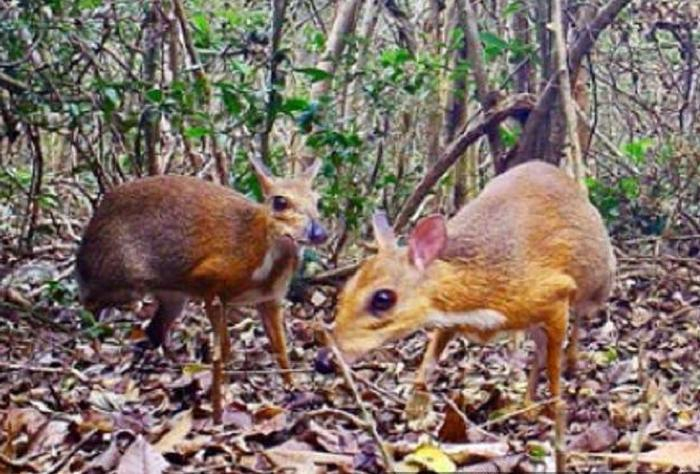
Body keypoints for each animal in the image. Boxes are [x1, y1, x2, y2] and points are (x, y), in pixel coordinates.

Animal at [76, 159, 328, 422]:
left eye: (317, 201)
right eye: (280, 201)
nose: (319, 233)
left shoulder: (270, 300)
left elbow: (281, 349)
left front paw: (293, 388)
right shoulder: (209, 284)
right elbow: (225, 348)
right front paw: (222, 391)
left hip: (174, 296)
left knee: (154, 329)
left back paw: (177, 367)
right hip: (122, 281)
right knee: (87, 305)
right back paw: (95, 350)